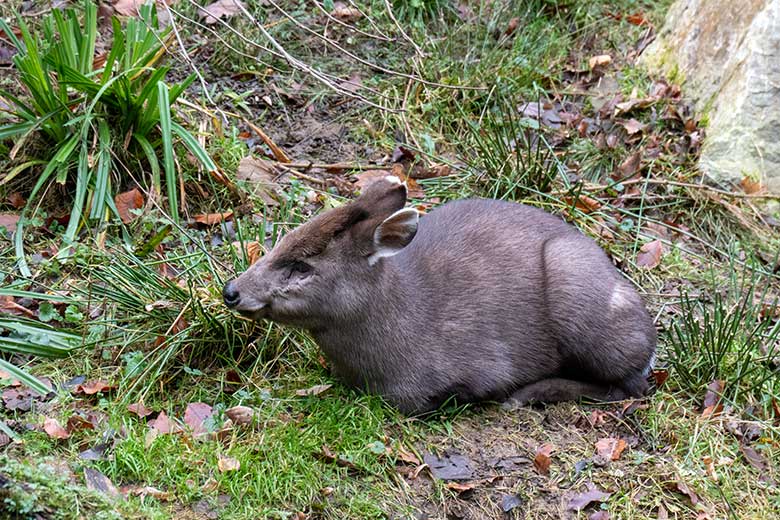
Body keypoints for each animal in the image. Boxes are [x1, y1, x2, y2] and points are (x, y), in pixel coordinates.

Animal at [222, 178, 656, 414]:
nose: (231, 291)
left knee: (630, 384)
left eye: (301, 266)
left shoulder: (482, 364)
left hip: (577, 294)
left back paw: (530, 393)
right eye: (282, 241)